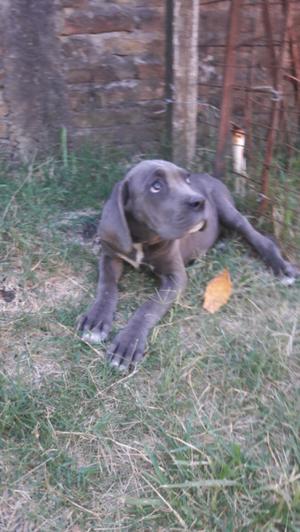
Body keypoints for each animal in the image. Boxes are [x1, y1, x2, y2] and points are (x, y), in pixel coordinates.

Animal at [78, 160, 298, 372]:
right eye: (156, 186)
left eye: (187, 180)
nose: (200, 201)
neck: (143, 239)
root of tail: (210, 176)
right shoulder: (110, 257)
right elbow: (107, 286)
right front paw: (96, 320)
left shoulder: (175, 277)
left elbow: (149, 307)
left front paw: (128, 343)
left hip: (228, 212)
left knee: (259, 238)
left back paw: (283, 269)